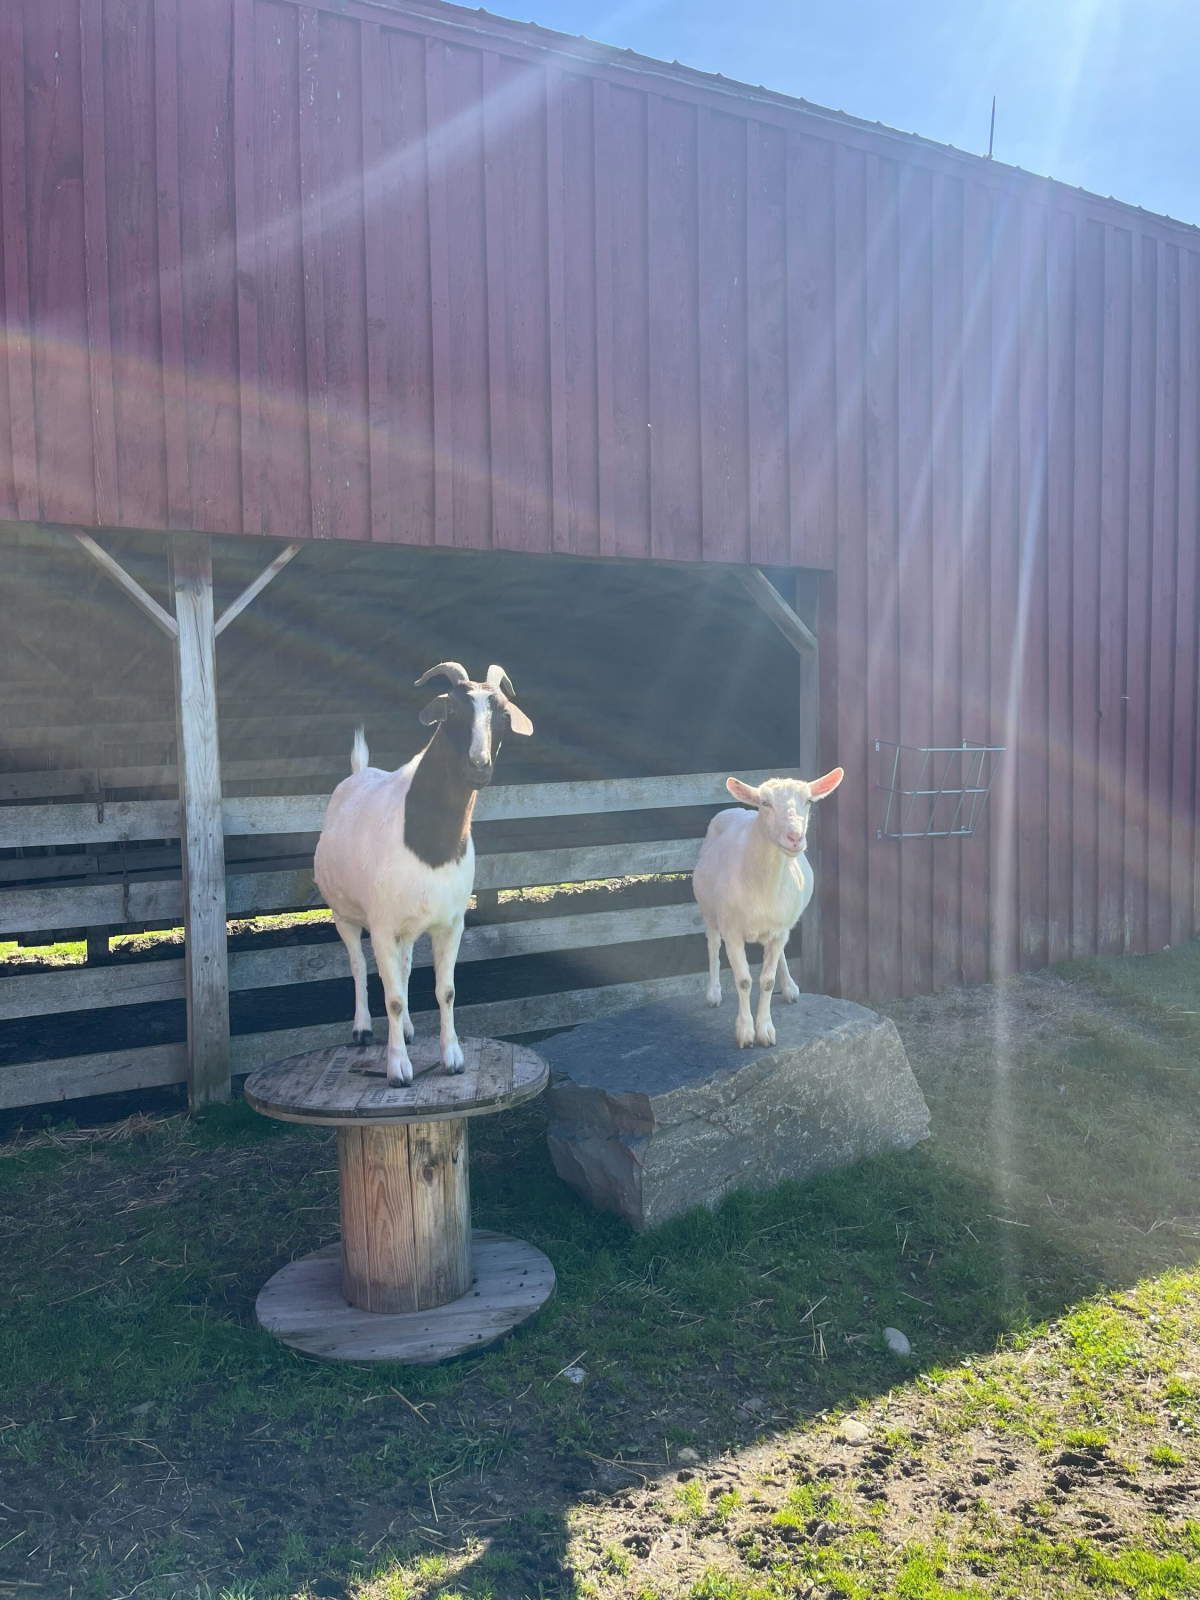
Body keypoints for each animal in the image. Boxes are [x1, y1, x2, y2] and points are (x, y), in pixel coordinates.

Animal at [313, 663, 533, 1087]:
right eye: (451, 712)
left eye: (501, 714)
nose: (478, 765)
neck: (428, 846)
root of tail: (359, 772)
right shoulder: (382, 926)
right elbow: (394, 997)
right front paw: (398, 1069)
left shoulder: (450, 923)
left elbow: (444, 990)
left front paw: (454, 1058)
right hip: (343, 913)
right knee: (359, 965)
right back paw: (362, 1029)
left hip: (408, 927)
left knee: (403, 967)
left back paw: (409, 1030)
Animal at [691, 768, 844, 1048]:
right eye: (765, 803)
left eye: (808, 801)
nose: (794, 838)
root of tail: (738, 810)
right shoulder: (732, 931)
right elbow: (743, 981)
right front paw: (745, 1033)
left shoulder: (779, 928)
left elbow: (767, 981)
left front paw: (765, 1030)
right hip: (708, 910)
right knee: (712, 944)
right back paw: (713, 993)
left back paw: (791, 988)